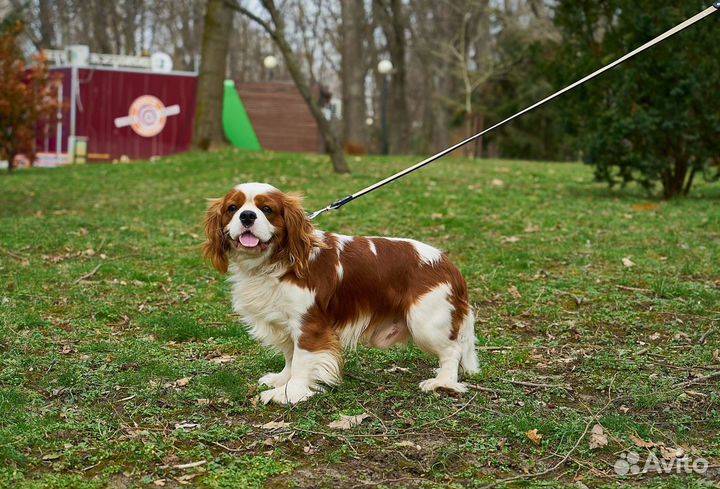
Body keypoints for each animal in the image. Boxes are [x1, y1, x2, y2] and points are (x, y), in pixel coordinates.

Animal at [202, 183, 478, 404]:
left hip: (425, 322)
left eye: (267, 209)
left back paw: (442, 382)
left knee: (452, 351)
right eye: (232, 208)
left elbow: (301, 361)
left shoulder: (309, 325)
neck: (276, 262)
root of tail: (448, 264)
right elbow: (291, 356)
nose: (247, 216)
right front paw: (282, 380)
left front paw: (290, 393)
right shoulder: (287, 323)